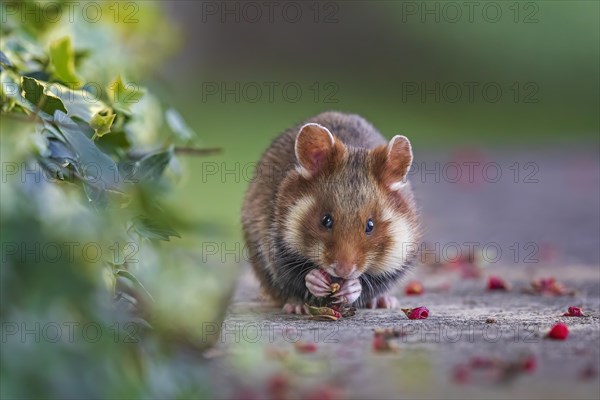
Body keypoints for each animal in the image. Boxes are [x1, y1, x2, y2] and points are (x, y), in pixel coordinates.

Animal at [241, 111, 420, 314]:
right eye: (325, 220)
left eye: (370, 225)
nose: (343, 271)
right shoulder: (277, 246)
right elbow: (298, 274)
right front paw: (316, 280)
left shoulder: (398, 259)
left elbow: (369, 283)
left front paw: (352, 287)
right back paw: (297, 307)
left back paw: (384, 302)